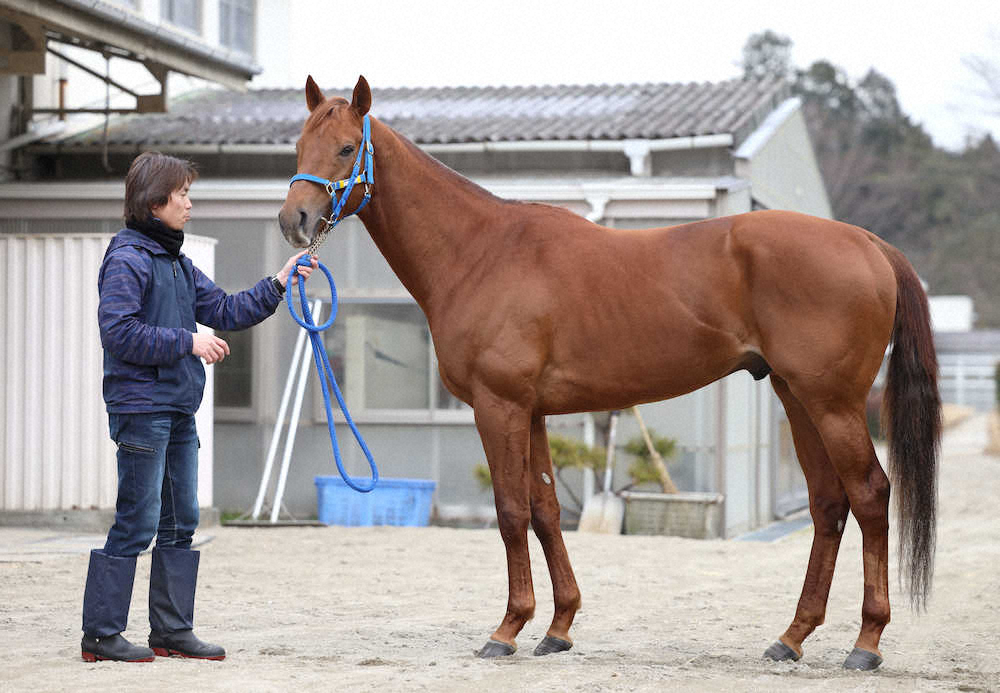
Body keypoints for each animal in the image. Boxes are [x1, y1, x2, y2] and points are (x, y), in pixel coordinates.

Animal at [278, 75, 940, 672]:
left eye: (346, 148)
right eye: (298, 146)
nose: (294, 220)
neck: (480, 252)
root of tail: (868, 242)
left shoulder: (499, 407)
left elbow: (510, 512)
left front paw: (507, 629)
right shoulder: (532, 413)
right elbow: (545, 510)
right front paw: (558, 627)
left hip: (833, 403)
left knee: (870, 495)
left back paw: (866, 643)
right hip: (797, 397)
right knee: (829, 504)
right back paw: (791, 638)